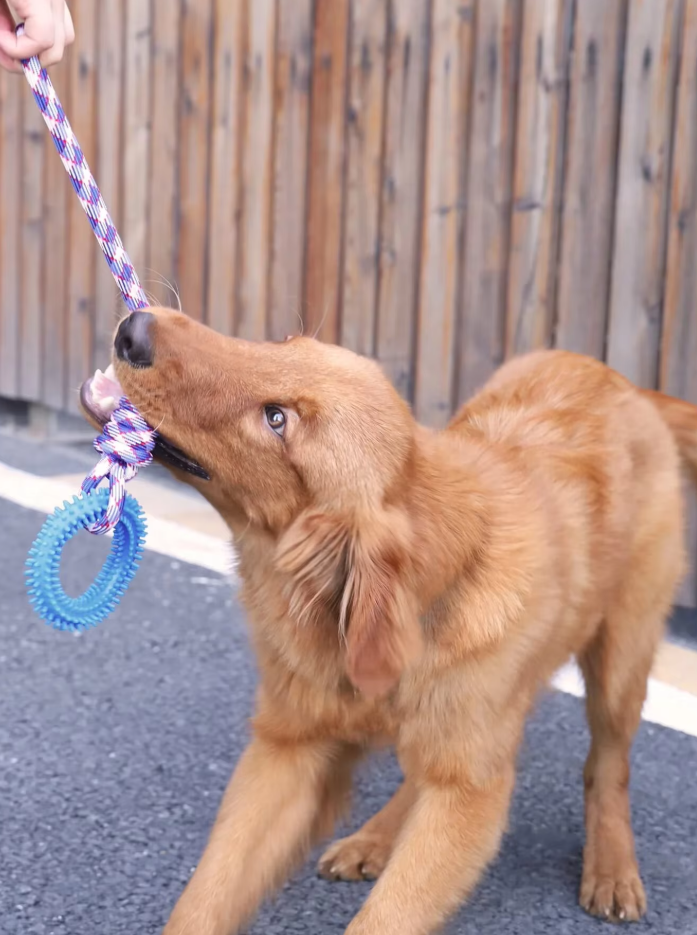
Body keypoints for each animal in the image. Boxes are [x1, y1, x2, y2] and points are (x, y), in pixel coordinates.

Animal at [79, 308, 692, 935]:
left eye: (277, 420)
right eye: (284, 343)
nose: (135, 328)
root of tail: (618, 379)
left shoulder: (471, 794)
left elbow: (388, 914)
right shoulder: (286, 751)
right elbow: (205, 899)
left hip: (619, 662)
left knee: (608, 766)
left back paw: (612, 866)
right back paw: (376, 838)